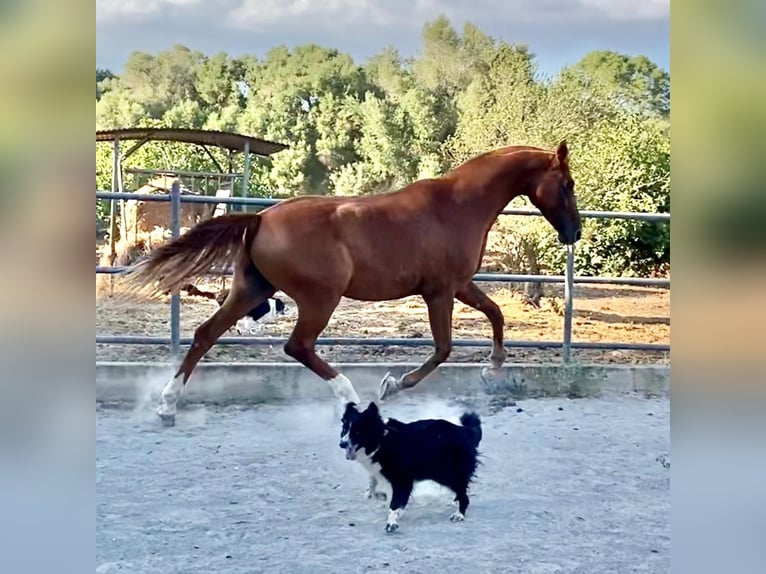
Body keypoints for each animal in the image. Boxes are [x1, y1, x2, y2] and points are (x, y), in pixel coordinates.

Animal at [126, 142, 584, 426]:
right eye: (568, 184)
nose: (574, 233)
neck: (456, 207)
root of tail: (260, 219)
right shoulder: (439, 291)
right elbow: (443, 349)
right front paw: (393, 385)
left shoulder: (460, 285)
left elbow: (496, 314)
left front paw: (493, 370)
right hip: (320, 298)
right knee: (298, 346)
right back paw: (350, 397)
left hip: (251, 289)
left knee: (206, 335)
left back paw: (167, 405)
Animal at [340, 402, 484, 532]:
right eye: (345, 429)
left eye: (357, 432)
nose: (342, 444)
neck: (381, 440)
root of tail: (465, 431)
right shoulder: (382, 474)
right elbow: (374, 489)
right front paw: (384, 500)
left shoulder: (402, 479)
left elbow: (395, 502)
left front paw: (391, 522)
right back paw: (456, 502)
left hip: (445, 472)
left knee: (463, 493)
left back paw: (459, 514)